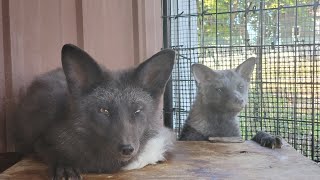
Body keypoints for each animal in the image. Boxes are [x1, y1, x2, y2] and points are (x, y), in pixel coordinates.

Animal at [13, 43, 176, 179]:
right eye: (104, 110)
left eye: (137, 110)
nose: (127, 149)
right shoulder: (40, 140)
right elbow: (54, 152)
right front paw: (65, 166)